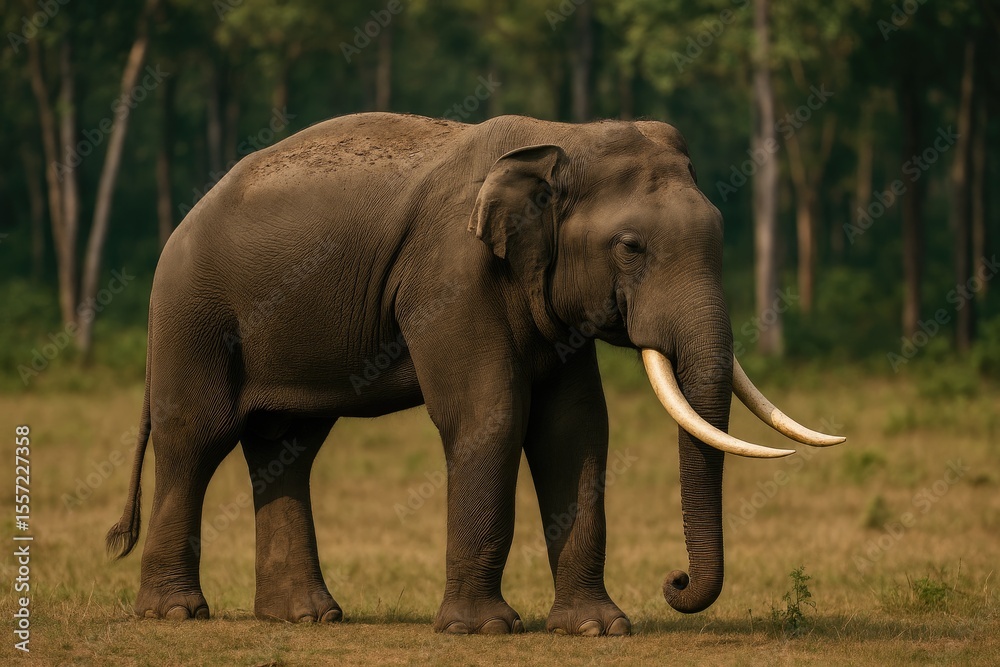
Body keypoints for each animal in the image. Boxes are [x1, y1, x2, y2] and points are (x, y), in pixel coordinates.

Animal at [107, 112, 844, 635]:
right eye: (632, 247)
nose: (676, 583)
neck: (560, 139)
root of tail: (179, 227)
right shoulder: (451, 276)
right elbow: (490, 412)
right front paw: (483, 630)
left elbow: (574, 429)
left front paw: (598, 629)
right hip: (195, 318)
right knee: (195, 439)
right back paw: (175, 614)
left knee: (287, 447)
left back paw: (307, 617)